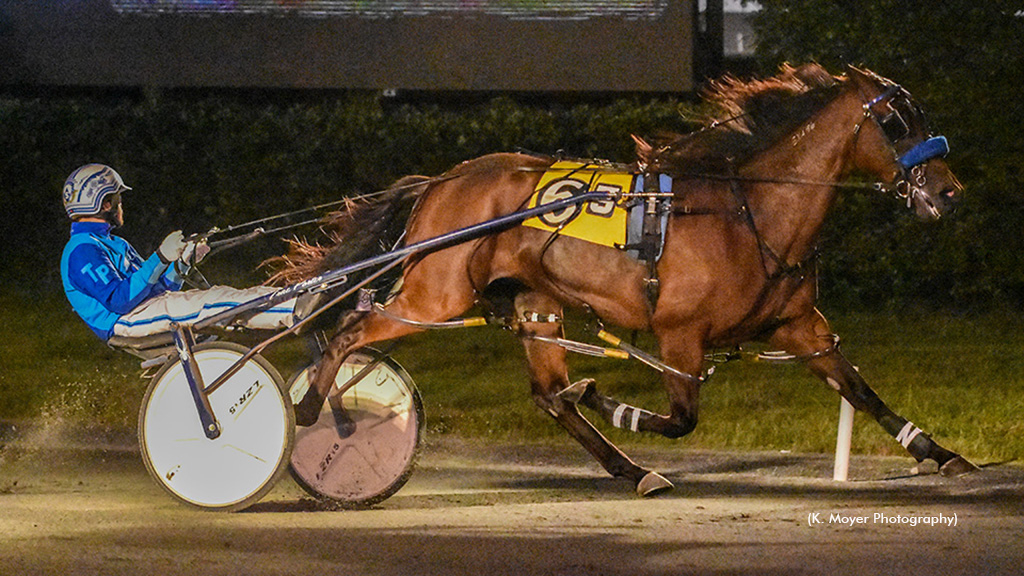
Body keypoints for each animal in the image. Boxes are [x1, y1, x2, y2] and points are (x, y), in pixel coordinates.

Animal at [278, 63, 974, 494]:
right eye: (896, 121)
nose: (948, 191)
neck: (748, 210)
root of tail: (442, 182)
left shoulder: (800, 325)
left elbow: (860, 390)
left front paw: (939, 453)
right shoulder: (679, 335)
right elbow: (681, 419)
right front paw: (609, 400)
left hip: (535, 302)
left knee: (548, 396)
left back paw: (630, 468)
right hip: (435, 294)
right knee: (351, 327)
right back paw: (310, 408)